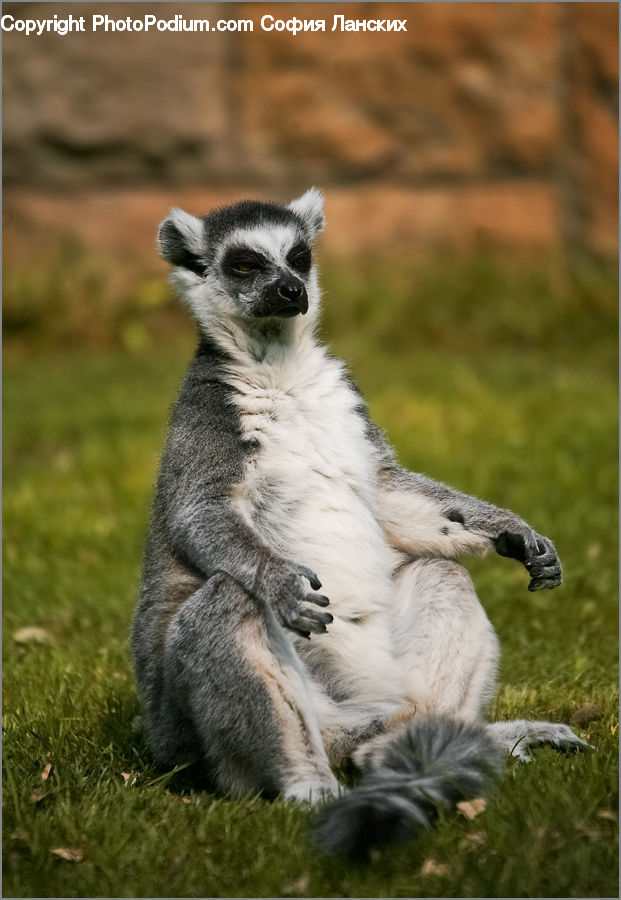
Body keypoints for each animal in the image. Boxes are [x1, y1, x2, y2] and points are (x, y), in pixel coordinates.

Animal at [131, 188, 591, 858]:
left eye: (299, 257)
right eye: (244, 265)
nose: (291, 288)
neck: (280, 370)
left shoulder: (350, 410)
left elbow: (386, 492)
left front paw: (506, 528)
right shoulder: (208, 415)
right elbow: (198, 514)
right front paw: (277, 582)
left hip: (377, 692)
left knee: (438, 573)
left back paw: (430, 748)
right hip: (191, 739)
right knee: (228, 599)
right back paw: (307, 786)